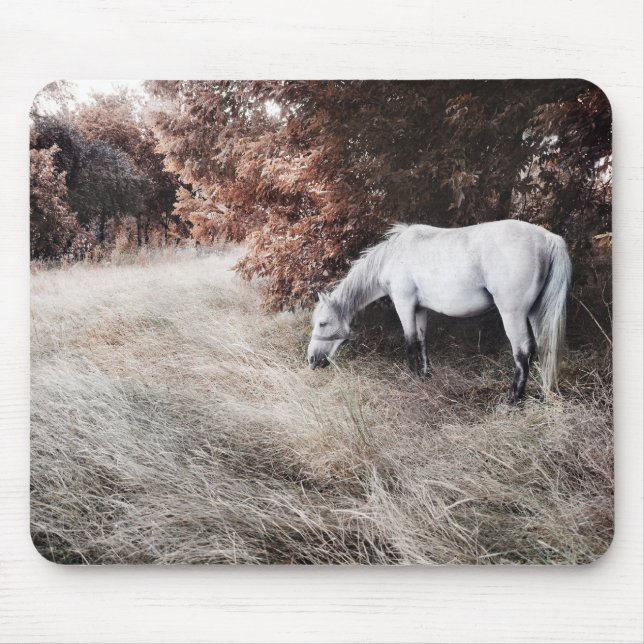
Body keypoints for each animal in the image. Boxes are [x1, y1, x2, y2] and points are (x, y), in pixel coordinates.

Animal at [307, 219, 572, 403]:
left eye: (323, 323)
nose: (311, 360)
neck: (393, 255)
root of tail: (547, 237)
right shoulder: (420, 309)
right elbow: (422, 341)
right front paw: (425, 376)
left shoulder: (404, 304)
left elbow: (410, 343)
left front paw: (413, 379)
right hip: (535, 313)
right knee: (544, 348)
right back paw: (541, 395)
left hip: (513, 314)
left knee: (523, 352)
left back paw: (512, 400)